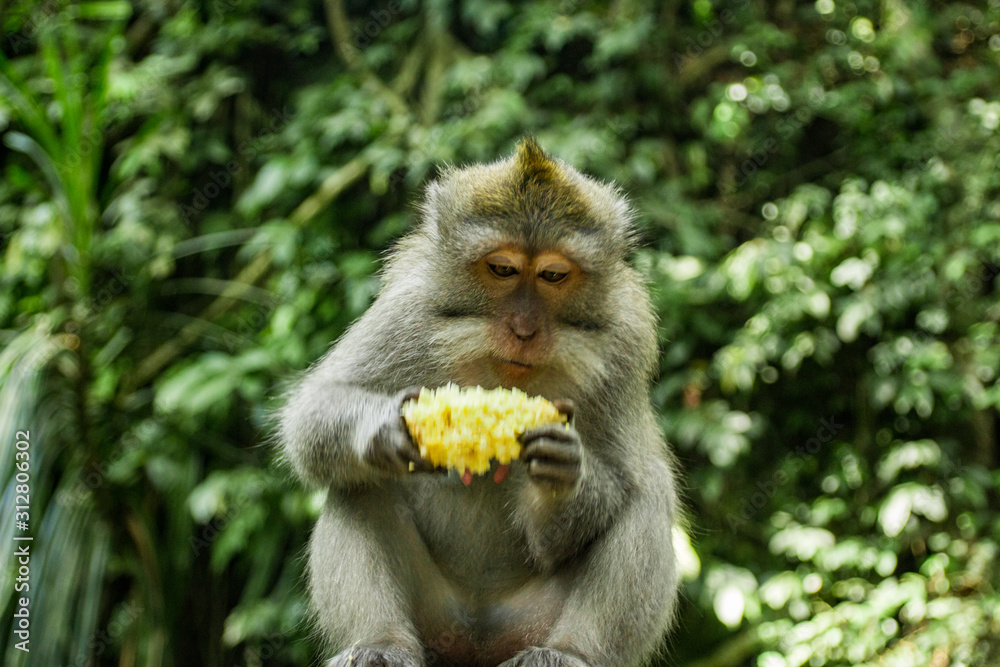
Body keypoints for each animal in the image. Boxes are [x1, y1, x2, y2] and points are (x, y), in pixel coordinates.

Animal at [279, 138, 679, 667]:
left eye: (553, 275)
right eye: (503, 269)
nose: (524, 329)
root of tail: (476, 643)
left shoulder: (625, 339)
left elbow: (620, 478)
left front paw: (561, 476)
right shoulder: (410, 309)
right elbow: (316, 410)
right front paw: (384, 428)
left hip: (529, 621)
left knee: (649, 488)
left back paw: (570, 652)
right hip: (434, 618)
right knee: (359, 482)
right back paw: (380, 642)